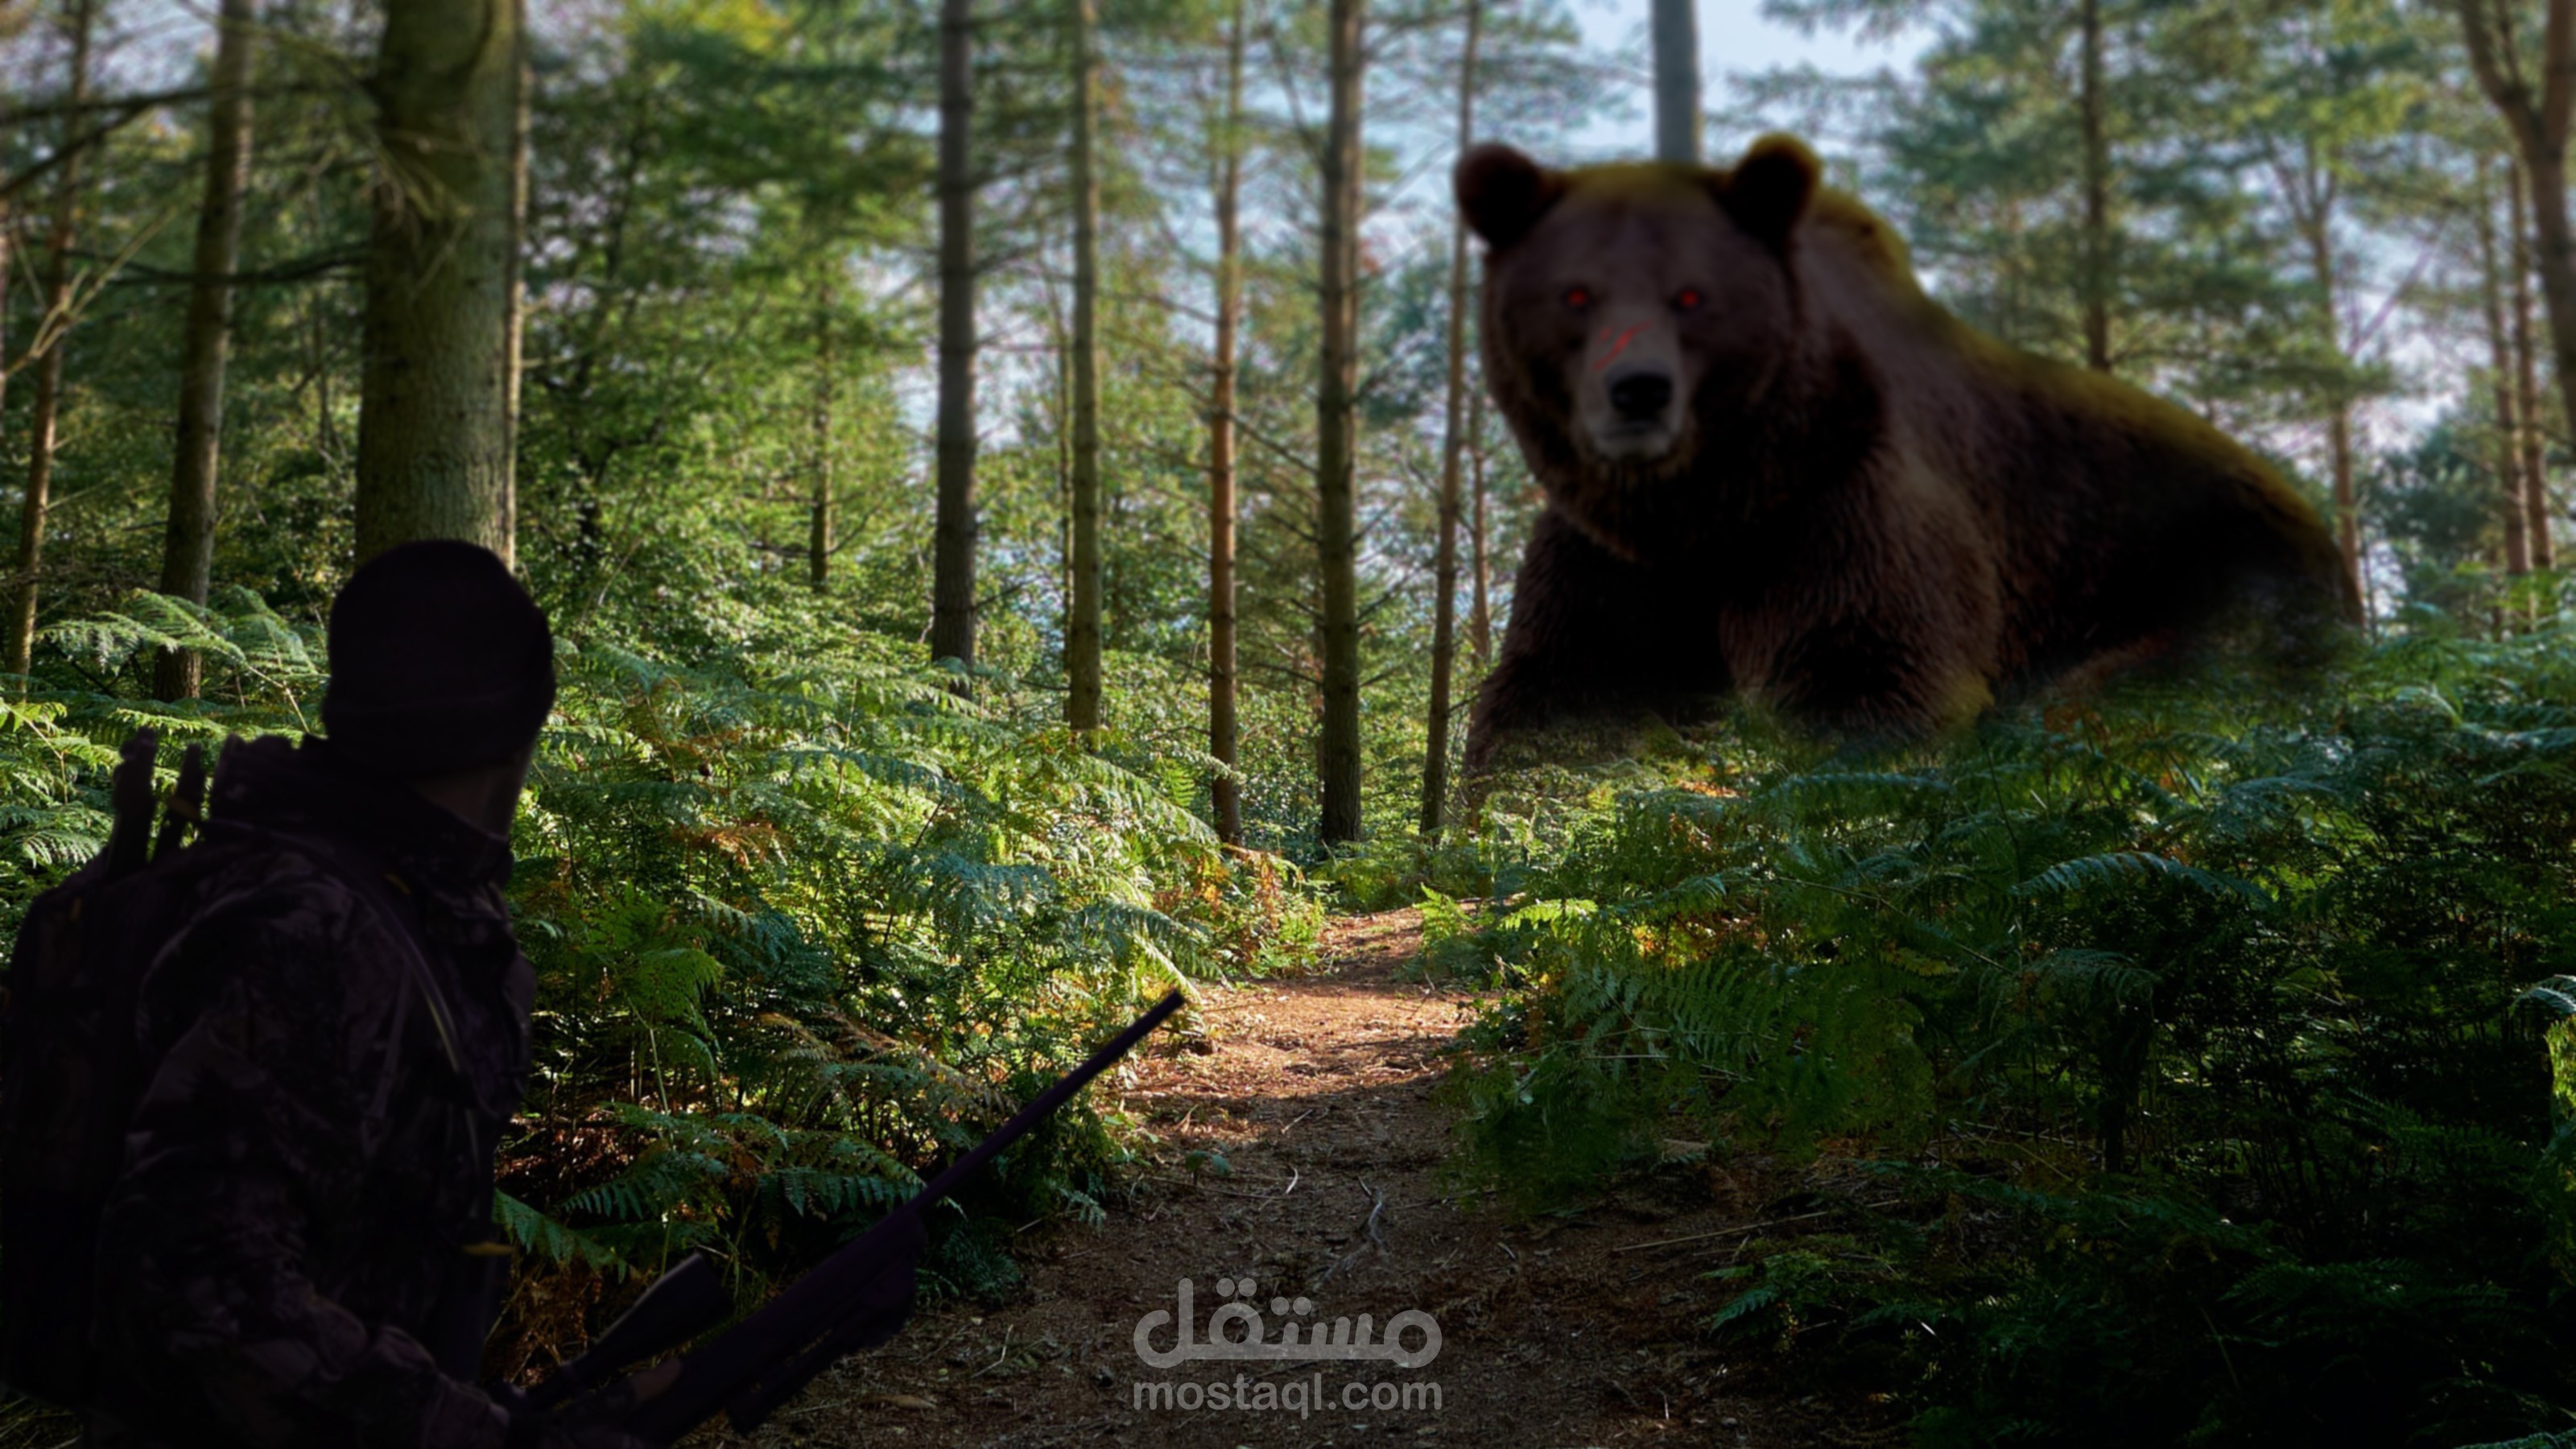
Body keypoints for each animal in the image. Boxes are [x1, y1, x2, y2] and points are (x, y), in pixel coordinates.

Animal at [1455, 133, 2360, 770]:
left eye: (1691, 295)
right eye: (1575, 293)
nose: (1637, 392)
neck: (1712, 507)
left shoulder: (1842, 501)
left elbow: (1867, 670)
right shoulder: (1616, 554)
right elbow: (1566, 689)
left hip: (2229, 581)